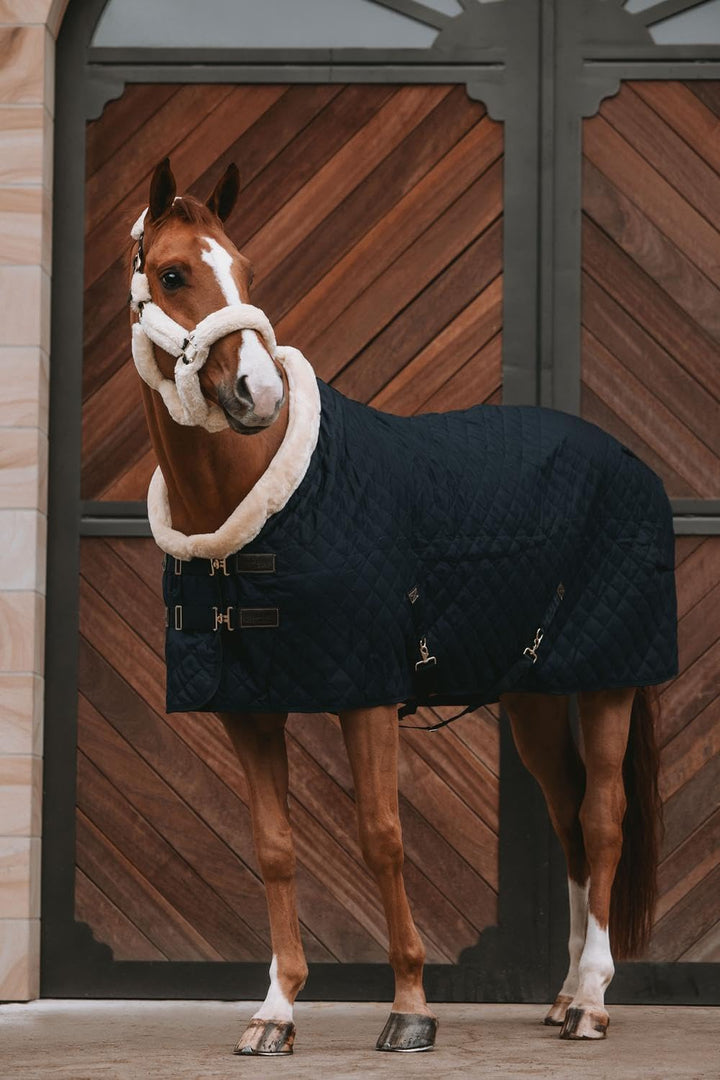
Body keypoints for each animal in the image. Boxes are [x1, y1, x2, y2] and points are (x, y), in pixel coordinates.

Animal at [126, 157, 673, 1055]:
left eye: (245, 269)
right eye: (172, 274)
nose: (259, 393)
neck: (254, 514)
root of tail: (626, 457)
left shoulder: (368, 695)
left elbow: (383, 837)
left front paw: (411, 1006)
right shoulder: (248, 708)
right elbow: (274, 848)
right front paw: (276, 1011)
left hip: (609, 682)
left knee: (602, 820)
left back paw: (592, 999)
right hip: (532, 695)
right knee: (567, 821)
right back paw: (562, 993)